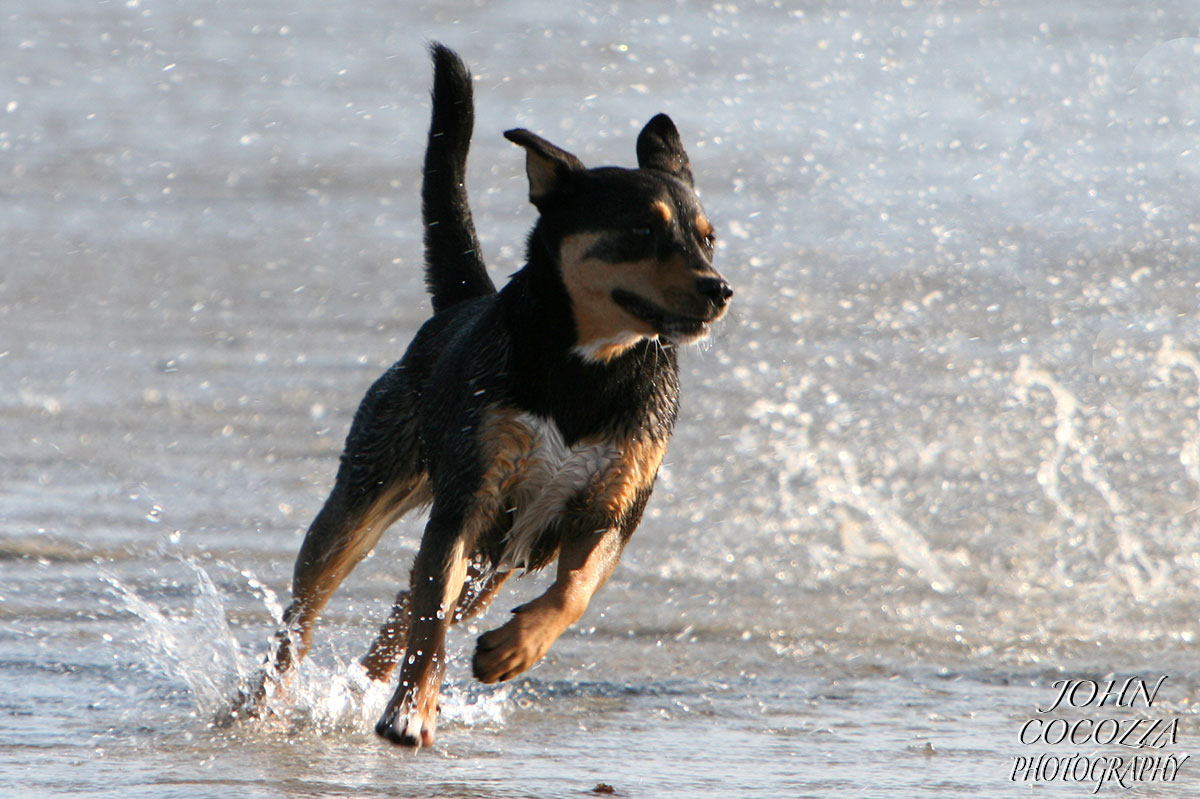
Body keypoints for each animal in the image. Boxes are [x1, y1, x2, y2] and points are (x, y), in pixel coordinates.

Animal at [253, 44, 729, 748]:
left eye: (708, 237)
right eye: (642, 231)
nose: (719, 289)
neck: (587, 367)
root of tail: (460, 305)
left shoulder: (610, 508)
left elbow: (573, 591)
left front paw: (510, 649)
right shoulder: (468, 498)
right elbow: (429, 622)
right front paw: (411, 712)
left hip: (496, 556)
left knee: (403, 616)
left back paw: (365, 685)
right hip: (370, 493)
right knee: (306, 616)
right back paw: (259, 704)